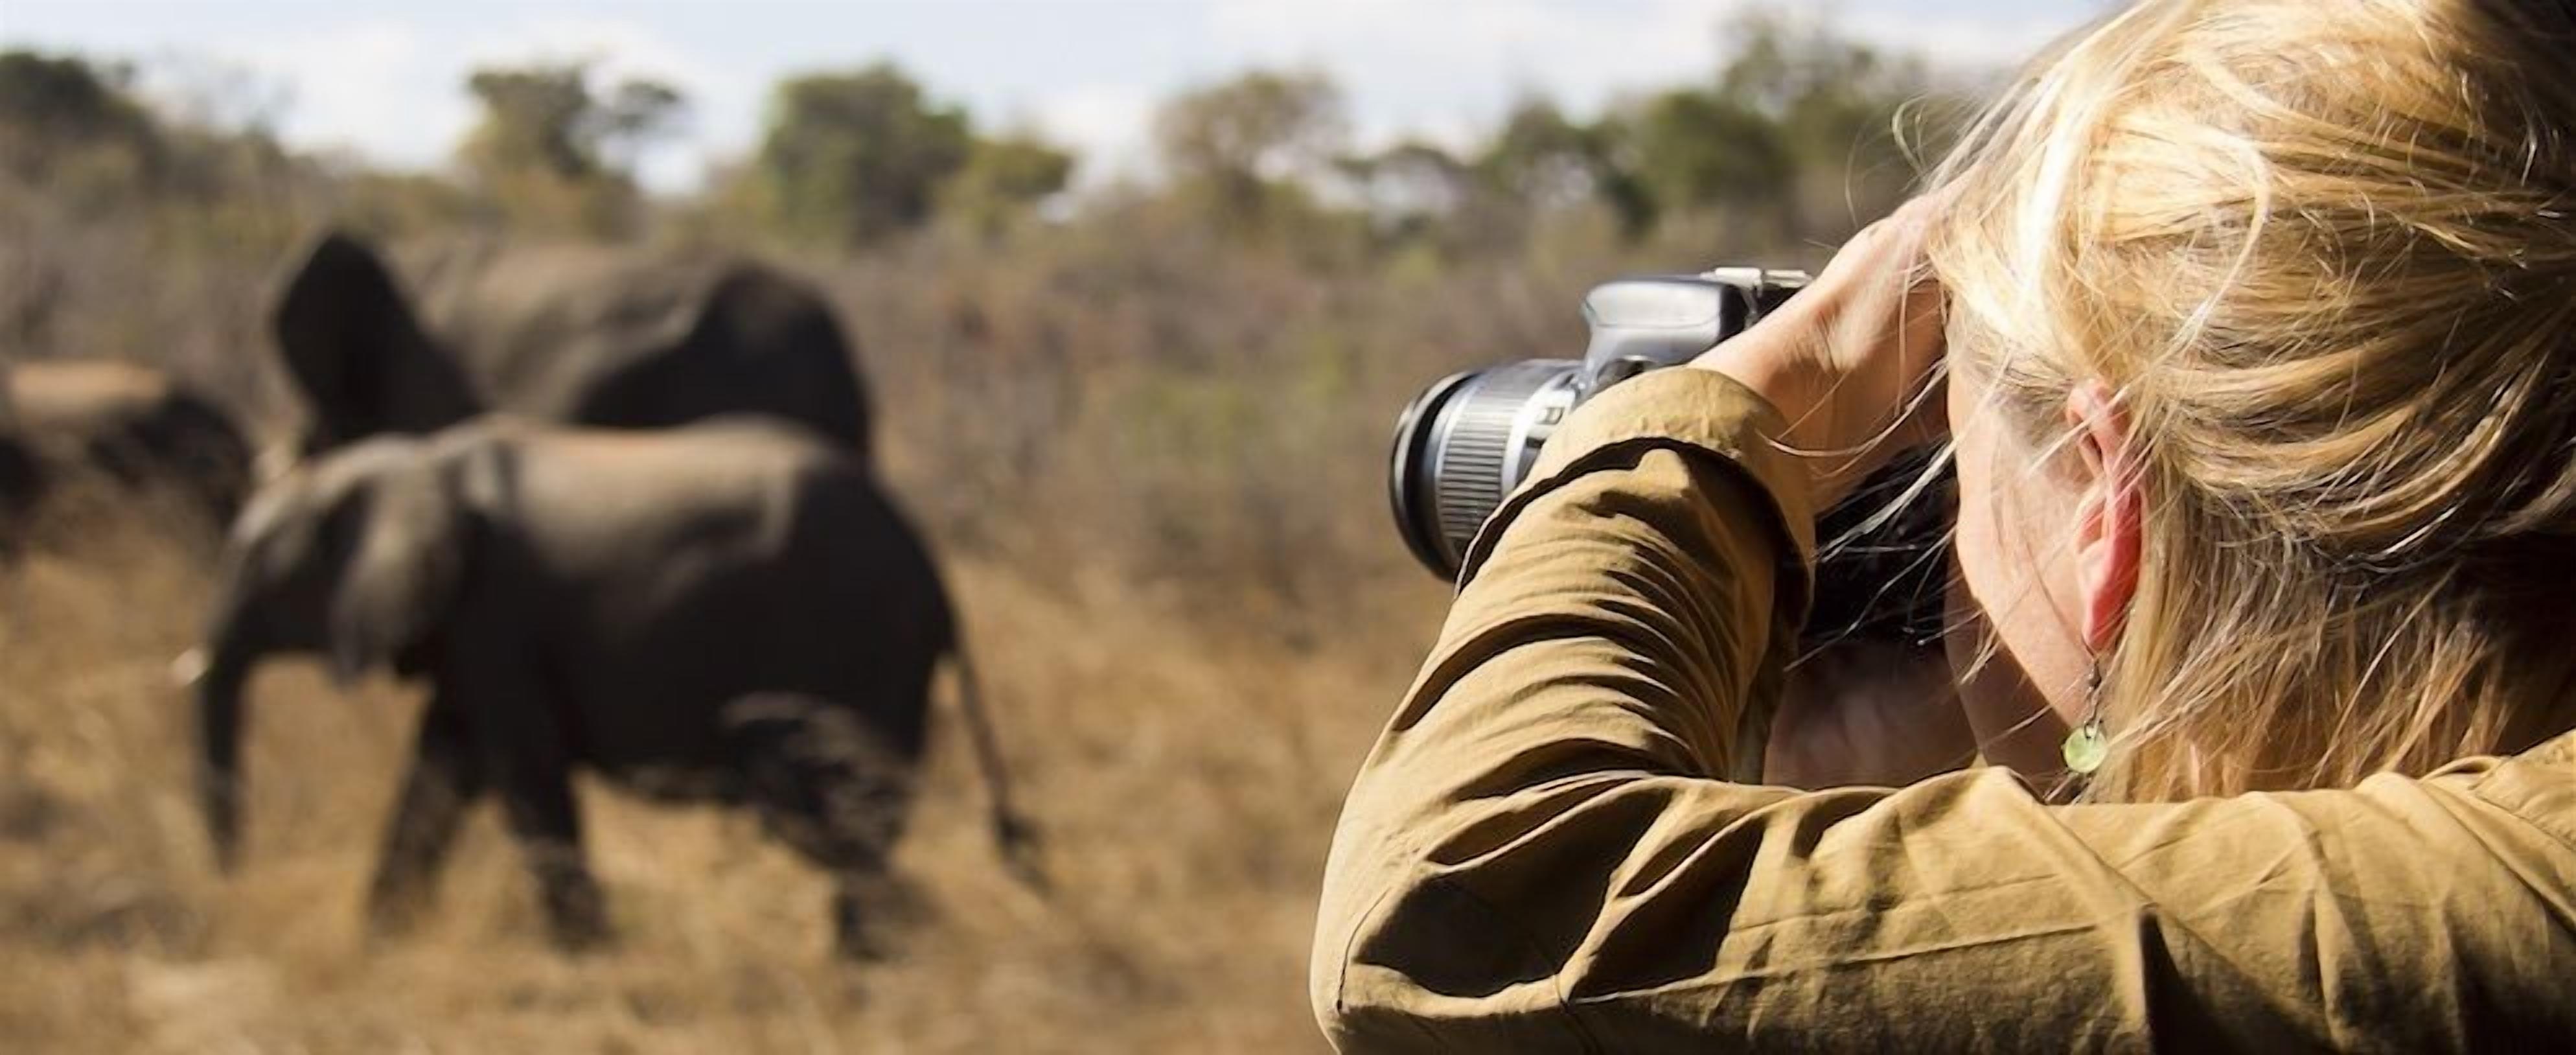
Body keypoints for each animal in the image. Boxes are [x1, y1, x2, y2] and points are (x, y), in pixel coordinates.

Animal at [185, 414, 1031, 956]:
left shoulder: (498, 617)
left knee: (833, 817)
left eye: (255, 566)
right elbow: (438, 770)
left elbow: (523, 777)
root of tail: (933, 570)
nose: (232, 888)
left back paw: (876, 960)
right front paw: (377, 946)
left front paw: (592, 960)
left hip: (860, 644)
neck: (407, 464)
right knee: (847, 825)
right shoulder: (470, 638)